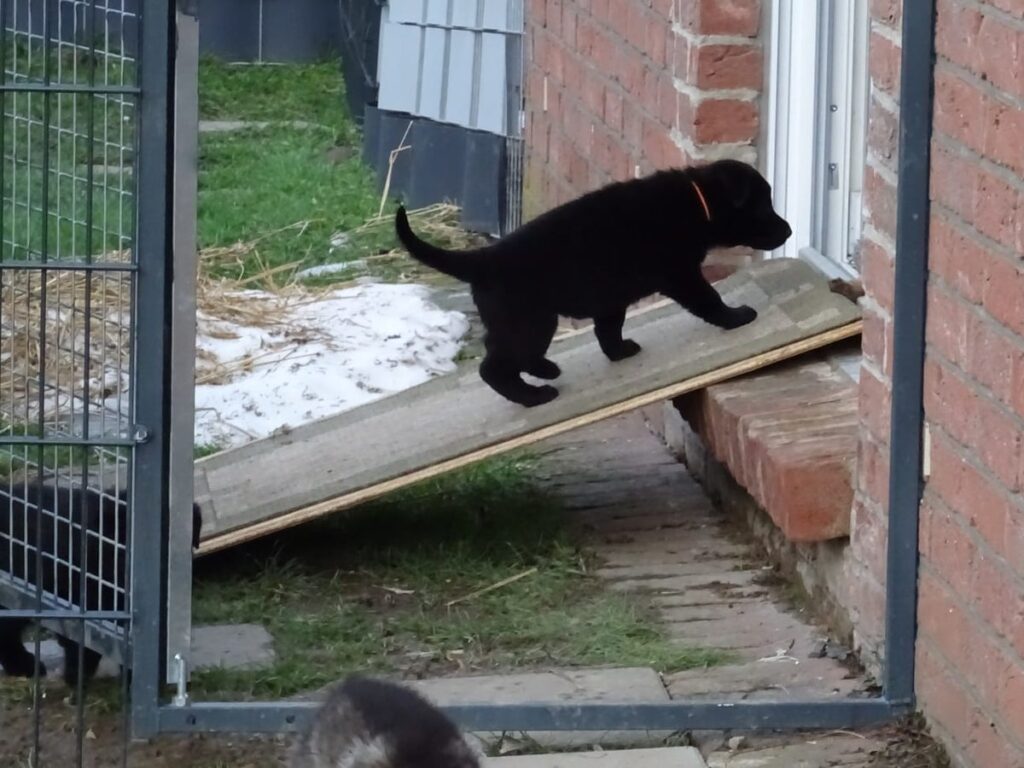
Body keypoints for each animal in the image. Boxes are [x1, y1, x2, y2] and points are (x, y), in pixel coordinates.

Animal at [395, 159, 793, 407]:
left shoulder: (611, 297)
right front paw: (737, 316)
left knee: (509, 353)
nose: (789, 230)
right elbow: (709, 299)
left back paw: (546, 370)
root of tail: (483, 259)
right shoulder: (681, 275)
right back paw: (534, 396)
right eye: (763, 206)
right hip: (531, 320)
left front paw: (619, 352)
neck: (696, 201)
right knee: (494, 366)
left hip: (518, 322)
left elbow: (608, 330)